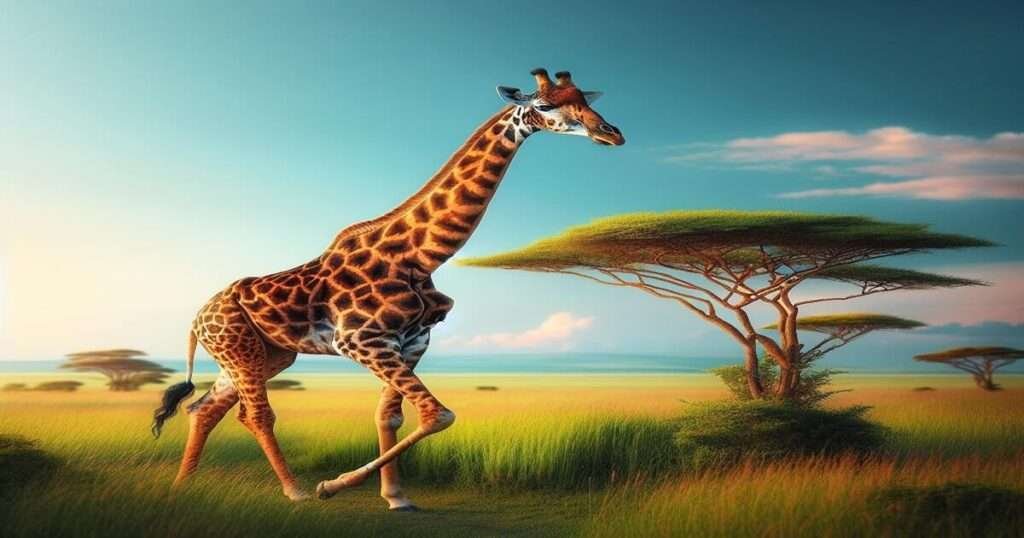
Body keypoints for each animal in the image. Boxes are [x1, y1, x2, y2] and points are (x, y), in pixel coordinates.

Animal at [152, 68, 625, 509]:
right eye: (543, 106)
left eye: (585, 99)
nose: (611, 133)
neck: (421, 255)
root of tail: (195, 320)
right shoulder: (362, 342)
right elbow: (438, 414)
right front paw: (332, 486)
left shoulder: (412, 342)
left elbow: (390, 417)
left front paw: (397, 497)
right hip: (241, 351)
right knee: (257, 415)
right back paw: (295, 491)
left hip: (264, 355)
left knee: (205, 407)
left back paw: (182, 484)